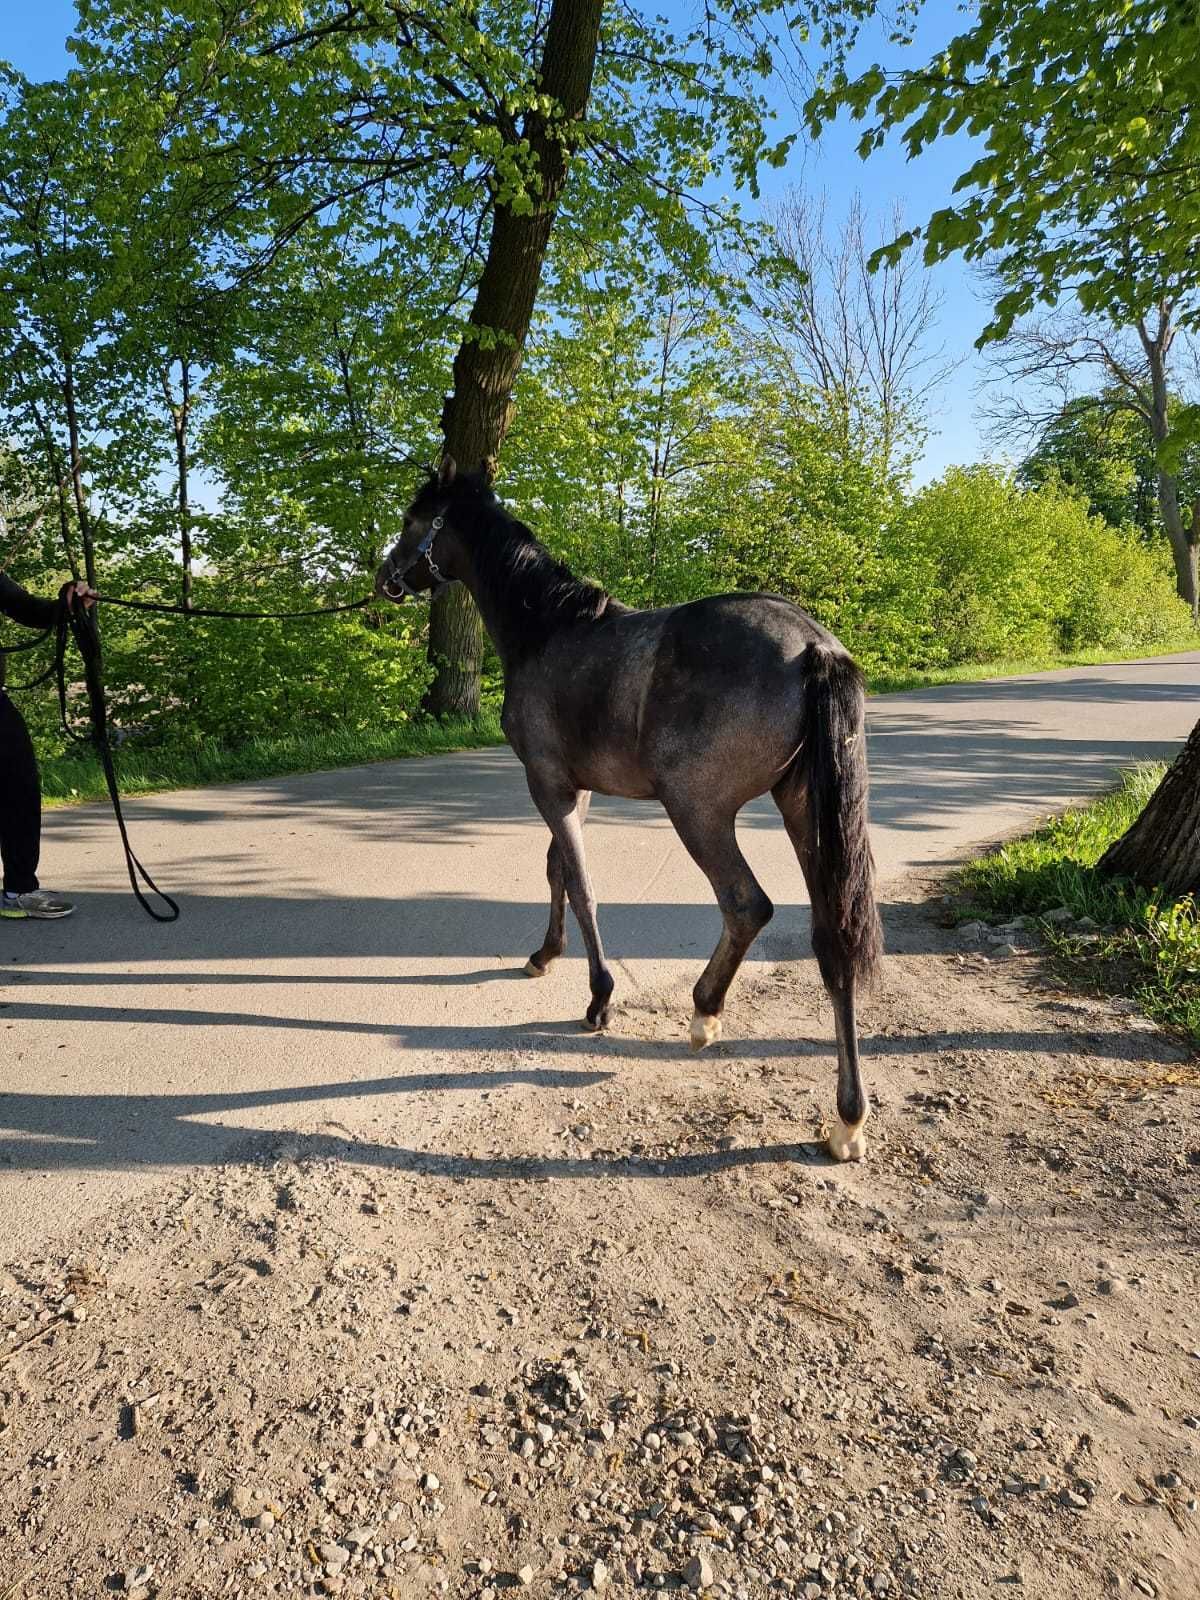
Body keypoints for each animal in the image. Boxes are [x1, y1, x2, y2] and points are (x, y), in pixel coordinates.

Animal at [380, 457, 889, 1158]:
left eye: (413, 520)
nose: (385, 578)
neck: (550, 632)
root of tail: (815, 647)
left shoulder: (548, 785)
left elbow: (581, 885)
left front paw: (599, 998)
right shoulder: (577, 788)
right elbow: (558, 872)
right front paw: (545, 955)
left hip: (698, 812)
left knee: (746, 905)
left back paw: (705, 1013)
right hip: (805, 813)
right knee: (832, 937)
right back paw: (847, 1118)